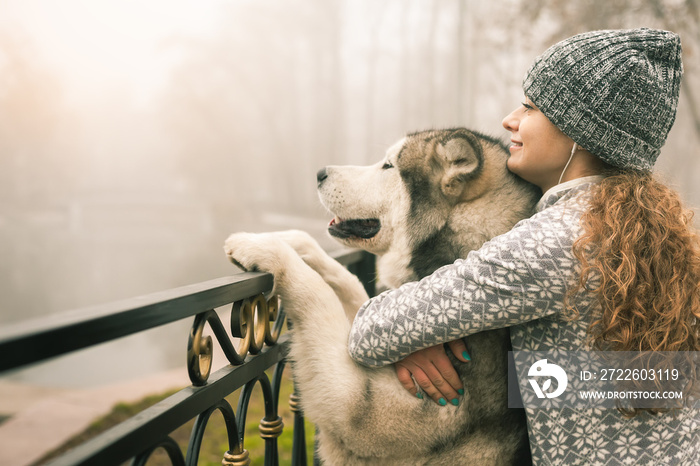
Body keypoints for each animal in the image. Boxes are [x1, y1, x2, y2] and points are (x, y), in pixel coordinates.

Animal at [224, 126, 536, 462]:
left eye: (388, 166)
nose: (320, 173)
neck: (460, 249)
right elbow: (348, 283)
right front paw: (289, 237)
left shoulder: (358, 409)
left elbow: (318, 296)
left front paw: (260, 246)